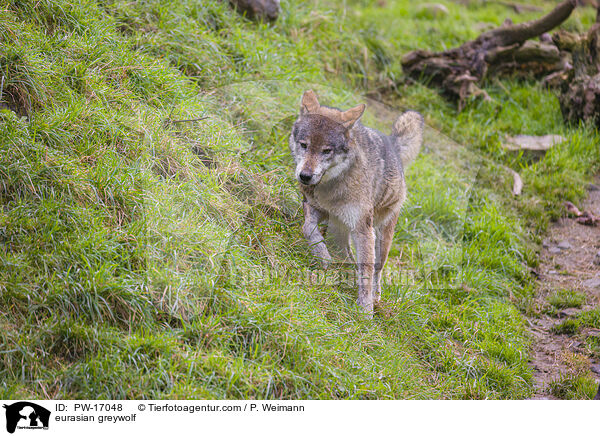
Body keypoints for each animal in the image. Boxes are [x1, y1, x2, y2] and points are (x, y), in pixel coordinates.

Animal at [290, 88, 422, 316]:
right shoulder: (315, 208)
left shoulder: (362, 228)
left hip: (381, 236)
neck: (333, 185)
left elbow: (367, 271)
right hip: (341, 228)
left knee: (377, 268)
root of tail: (391, 142)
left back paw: (376, 297)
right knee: (348, 252)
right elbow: (307, 228)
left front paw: (365, 309)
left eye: (327, 151)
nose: (305, 176)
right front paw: (323, 256)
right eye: (304, 145)